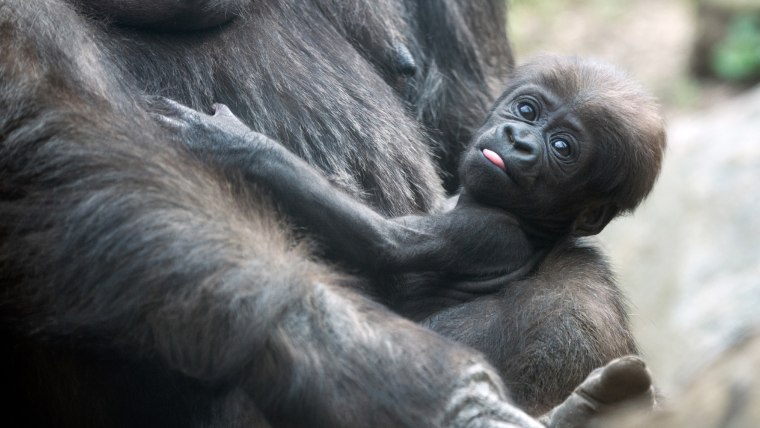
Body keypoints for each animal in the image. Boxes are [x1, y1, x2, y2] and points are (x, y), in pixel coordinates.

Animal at [156, 56, 664, 318]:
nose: (520, 142)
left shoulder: (488, 233)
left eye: (562, 147)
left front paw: (238, 144)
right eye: (527, 110)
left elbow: (385, 241)